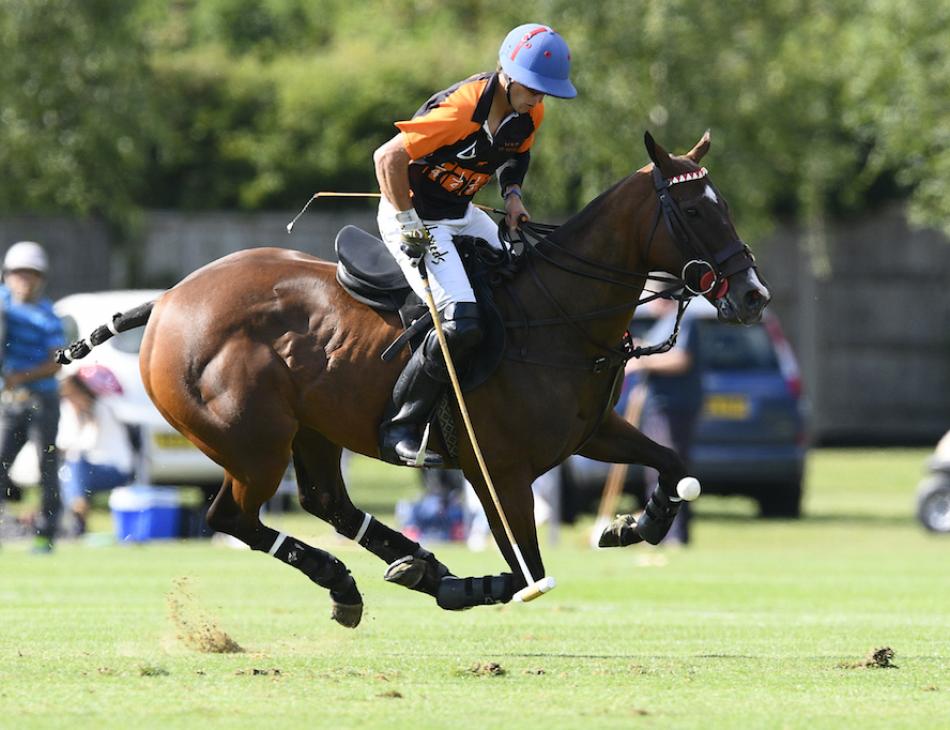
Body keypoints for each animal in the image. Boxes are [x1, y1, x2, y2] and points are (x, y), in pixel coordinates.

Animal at [59, 131, 772, 624]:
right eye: (695, 212)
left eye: (725, 206)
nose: (754, 296)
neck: (559, 312)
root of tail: (167, 300)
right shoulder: (496, 469)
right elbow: (526, 575)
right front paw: (458, 585)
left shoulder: (590, 433)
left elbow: (674, 465)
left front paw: (631, 526)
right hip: (252, 442)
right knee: (231, 516)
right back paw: (381, 574)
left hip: (311, 430)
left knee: (326, 502)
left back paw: (387, 569)